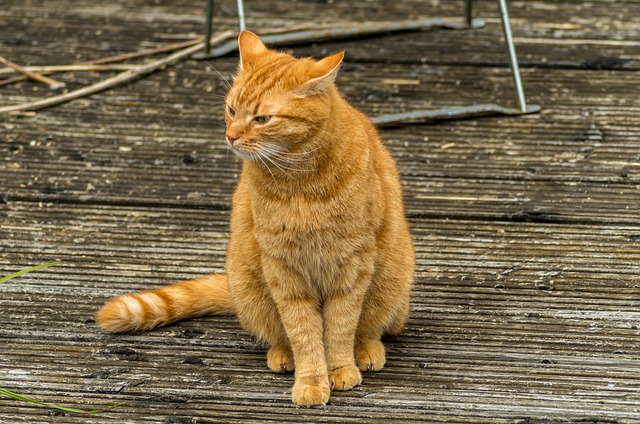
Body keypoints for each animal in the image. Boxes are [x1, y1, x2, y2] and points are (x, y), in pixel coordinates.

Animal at [96, 30, 416, 408]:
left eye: (262, 119)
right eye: (232, 110)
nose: (231, 135)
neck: (300, 181)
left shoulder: (352, 266)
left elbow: (340, 327)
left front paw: (339, 369)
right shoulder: (283, 269)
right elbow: (304, 332)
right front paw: (311, 380)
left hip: (391, 283)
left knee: (369, 328)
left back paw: (366, 350)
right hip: (249, 283)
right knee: (280, 334)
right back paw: (284, 355)